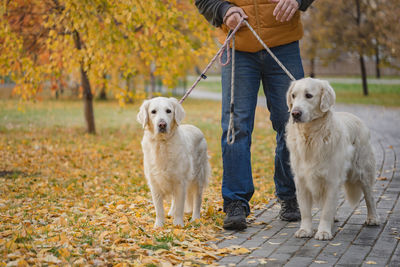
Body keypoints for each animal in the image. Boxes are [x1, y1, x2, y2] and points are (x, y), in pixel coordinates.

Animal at [137, 97, 211, 227]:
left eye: (168, 111)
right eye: (153, 111)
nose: (162, 124)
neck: (162, 143)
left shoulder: (180, 181)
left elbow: (180, 206)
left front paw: (178, 225)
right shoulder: (154, 182)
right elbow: (159, 208)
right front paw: (159, 225)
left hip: (198, 176)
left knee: (197, 198)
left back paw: (195, 218)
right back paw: (171, 212)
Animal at [286, 77, 380, 241]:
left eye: (309, 95)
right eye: (293, 95)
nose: (295, 113)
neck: (311, 136)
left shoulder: (331, 179)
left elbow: (327, 210)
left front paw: (323, 232)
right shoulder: (302, 180)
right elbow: (305, 210)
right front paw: (305, 230)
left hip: (363, 172)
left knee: (370, 197)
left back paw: (372, 218)